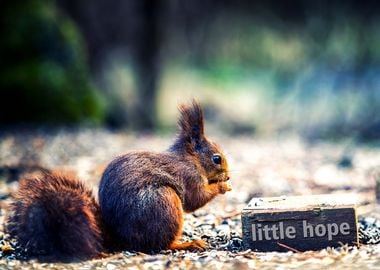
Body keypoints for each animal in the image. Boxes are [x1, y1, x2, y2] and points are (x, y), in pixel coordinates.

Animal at [5, 100, 232, 260]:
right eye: (216, 158)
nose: (229, 175)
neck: (191, 159)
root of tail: (121, 238)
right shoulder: (189, 176)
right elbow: (196, 199)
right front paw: (222, 186)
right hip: (164, 203)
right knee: (161, 245)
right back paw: (187, 244)